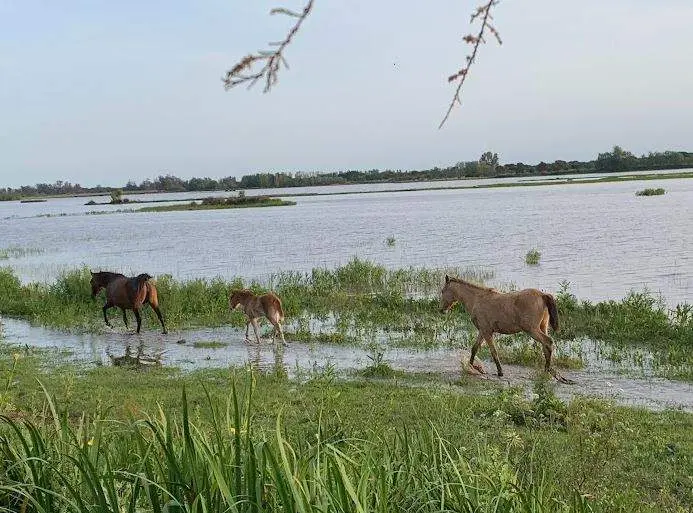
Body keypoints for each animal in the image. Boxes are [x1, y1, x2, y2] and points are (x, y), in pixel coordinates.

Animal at [438, 274, 572, 382]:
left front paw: (499, 372)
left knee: (548, 342)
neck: (477, 299)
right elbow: (474, 348)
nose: (441, 310)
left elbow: (493, 351)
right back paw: (547, 370)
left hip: (532, 330)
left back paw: (547, 370)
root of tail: (542, 295)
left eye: (443, 290)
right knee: (546, 346)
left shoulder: (487, 332)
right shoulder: (483, 331)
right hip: (542, 327)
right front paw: (471, 367)